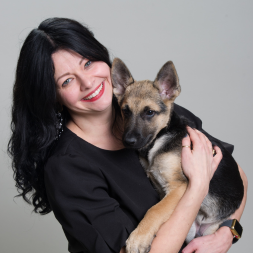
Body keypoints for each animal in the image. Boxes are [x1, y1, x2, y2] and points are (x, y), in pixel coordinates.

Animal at [110, 58, 243, 252]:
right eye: (125, 111)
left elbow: (155, 210)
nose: (128, 141)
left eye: (149, 112)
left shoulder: (179, 186)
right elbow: (158, 208)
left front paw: (138, 238)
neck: (161, 137)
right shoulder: (161, 188)